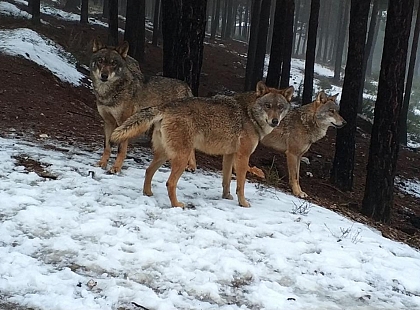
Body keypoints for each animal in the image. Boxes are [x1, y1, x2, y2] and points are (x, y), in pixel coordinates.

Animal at [90, 38, 195, 173]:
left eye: (114, 64)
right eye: (100, 61)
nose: (104, 75)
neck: (109, 93)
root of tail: (187, 86)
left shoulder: (123, 124)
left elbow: (120, 150)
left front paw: (116, 168)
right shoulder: (108, 122)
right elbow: (107, 147)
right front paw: (102, 163)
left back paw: (191, 166)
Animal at [109, 82, 292, 208]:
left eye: (280, 107)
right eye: (267, 106)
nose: (275, 121)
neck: (250, 115)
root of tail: (165, 106)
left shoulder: (229, 155)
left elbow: (226, 181)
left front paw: (226, 197)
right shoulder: (243, 157)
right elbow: (241, 184)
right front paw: (243, 203)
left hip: (164, 155)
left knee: (148, 171)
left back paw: (148, 194)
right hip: (182, 157)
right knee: (170, 183)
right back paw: (177, 205)